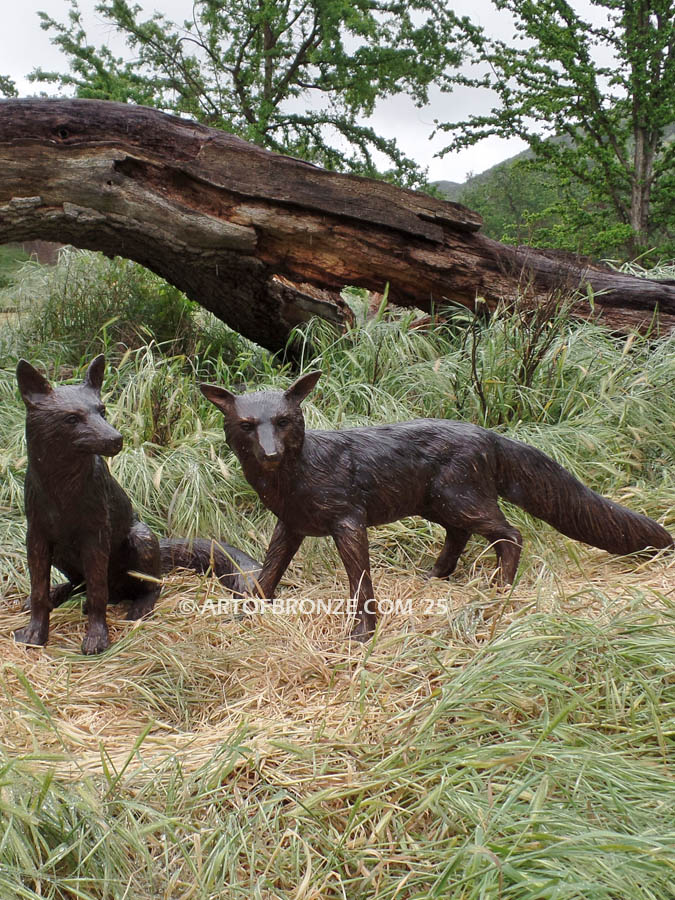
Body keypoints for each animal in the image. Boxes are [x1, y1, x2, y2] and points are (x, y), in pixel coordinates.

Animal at [15, 355, 260, 654]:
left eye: (102, 411)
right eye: (71, 418)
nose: (116, 439)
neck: (61, 489)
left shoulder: (95, 537)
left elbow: (97, 593)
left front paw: (97, 637)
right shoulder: (36, 537)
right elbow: (39, 590)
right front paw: (34, 633)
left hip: (141, 538)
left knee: (150, 585)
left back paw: (139, 608)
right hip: (62, 552)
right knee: (78, 583)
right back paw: (57, 593)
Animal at [200, 370, 673, 641]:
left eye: (283, 421)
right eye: (248, 425)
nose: (271, 454)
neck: (297, 474)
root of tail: (487, 433)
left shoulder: (349, 522)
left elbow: (360, 583)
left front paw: (363, 633)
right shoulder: (291, 526)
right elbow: (267, 575)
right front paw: (246, 617)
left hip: (461, 501)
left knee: (511, 534)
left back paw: (500, 590)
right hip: (439, 506)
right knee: (461, 536)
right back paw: (437, 575)